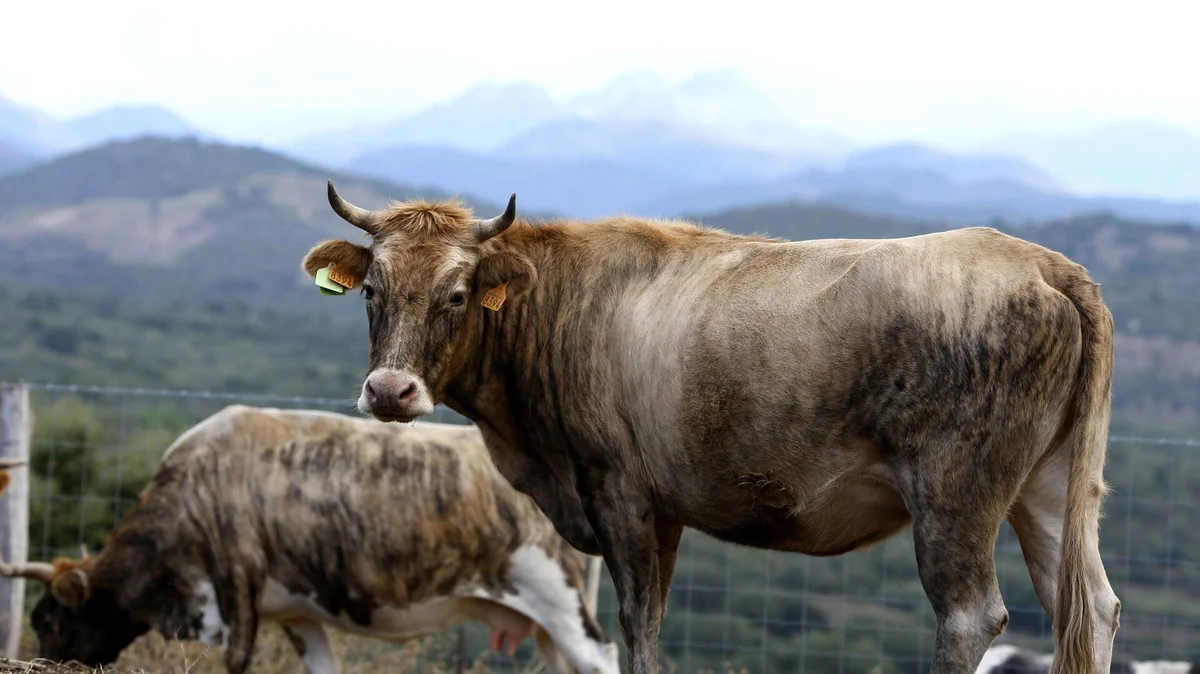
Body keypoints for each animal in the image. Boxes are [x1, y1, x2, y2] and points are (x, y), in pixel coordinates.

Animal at [0, 402, 619, 671]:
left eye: (48, 620)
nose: (47, 662)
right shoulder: (298, 613)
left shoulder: (237, 590)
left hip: (557, 597)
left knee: (601, 657)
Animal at [302, 181, 1123, 671]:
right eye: (372, 289)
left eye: (457, 293)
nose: (390, 390)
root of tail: (1044, 264)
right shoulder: (661, 511)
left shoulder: (619, 490)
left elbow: (638, 624)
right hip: (1050, 490)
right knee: (1089, 607)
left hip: (954, 491)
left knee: (969, 616)